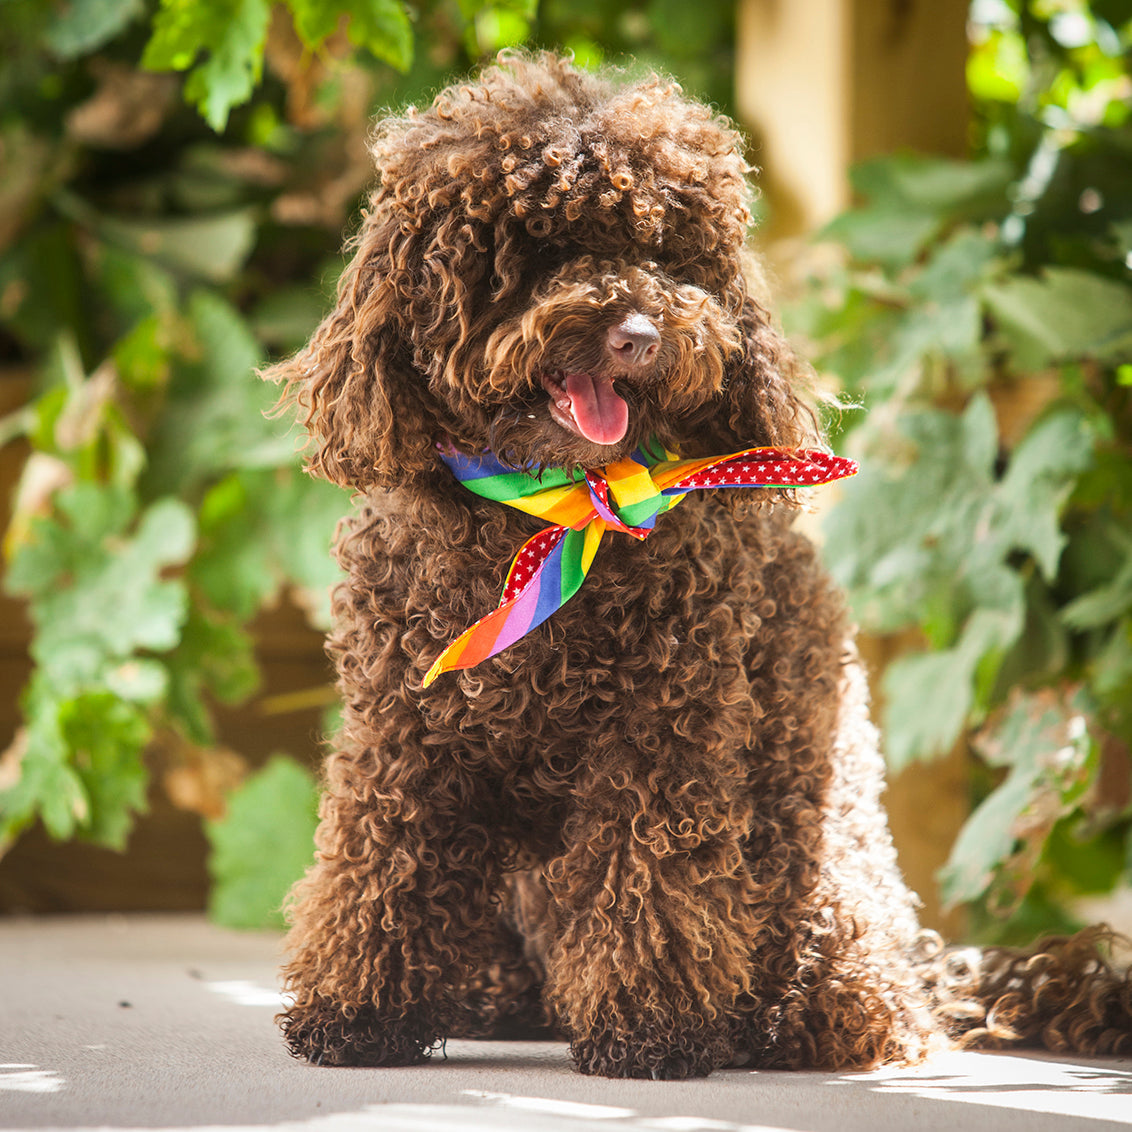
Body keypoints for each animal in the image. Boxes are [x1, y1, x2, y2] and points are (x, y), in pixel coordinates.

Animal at [267, 53, 1132, 1077]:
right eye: (539, 249)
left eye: (671, 254)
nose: (640, 333)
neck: (559, 507)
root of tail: (921, 959)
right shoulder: (404, 729)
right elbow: (381, 865)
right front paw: (358, 1011)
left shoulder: (664, 731)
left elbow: (649, 882)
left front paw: (648, 1028)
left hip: (817, 869)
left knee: (859, 994)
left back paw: (797, 1016)